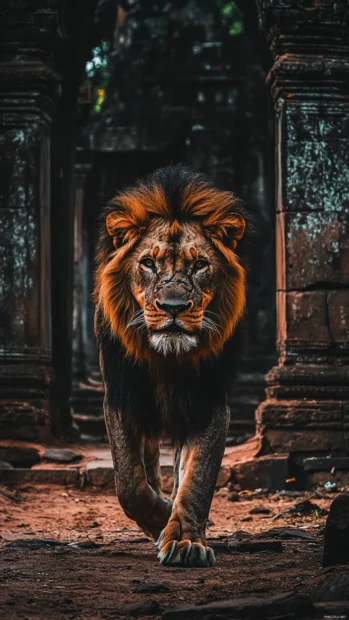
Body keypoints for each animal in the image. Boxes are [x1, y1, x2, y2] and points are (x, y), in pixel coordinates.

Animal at [94, 163, 247, 568]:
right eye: (148, 263)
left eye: (199, 265)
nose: (174, 307)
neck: (167, 359)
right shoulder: (121, 397)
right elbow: (129, 484)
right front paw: (161, 518)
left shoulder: (209, 403)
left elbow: (196, 480)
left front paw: (185, 539)